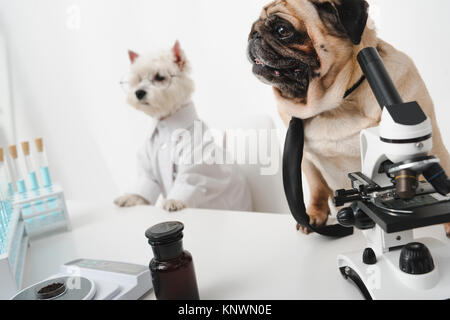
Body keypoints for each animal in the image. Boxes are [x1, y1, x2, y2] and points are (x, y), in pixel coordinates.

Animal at [114, 42, 251, 212]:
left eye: (159, 77)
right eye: (138, 79)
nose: (139, 92)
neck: (166, 124)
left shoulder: (195, 156)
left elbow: (189, 177)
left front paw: (174, 201)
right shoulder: (148, 164)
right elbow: (147, 180)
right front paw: (131, 197)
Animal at [248, 0, 450, 236]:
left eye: (282, 31)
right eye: (253, 27)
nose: (254, 34)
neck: (334, 104)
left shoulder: (433, 145)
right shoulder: (306, 159)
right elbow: (317, 188)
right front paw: (314, 215)